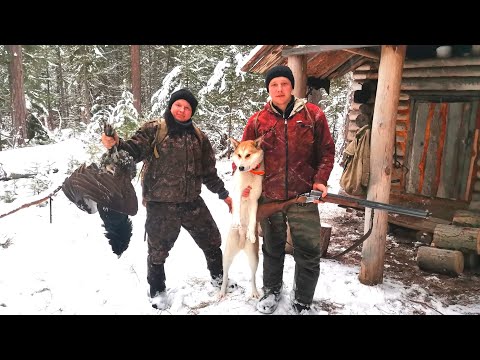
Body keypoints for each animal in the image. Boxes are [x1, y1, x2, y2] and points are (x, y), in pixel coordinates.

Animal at [218, 135, 264, 298]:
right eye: (239, 155)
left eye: (248, 155)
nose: (240, 168)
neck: (249, 174)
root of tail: (241, 242)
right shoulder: (238, 194)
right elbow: (236, 208)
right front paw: (236, 221)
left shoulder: (254, 200)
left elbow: (252, 219)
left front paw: (251, 233)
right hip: (226, 256)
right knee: (225, 275)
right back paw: (222, 291)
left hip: (254, 258)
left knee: (253, 276)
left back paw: (255, 292)